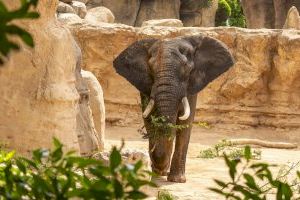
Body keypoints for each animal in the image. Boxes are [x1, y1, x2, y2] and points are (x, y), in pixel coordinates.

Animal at [112, 34, 234, 183]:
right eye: (151, 68)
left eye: (186, 68)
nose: (159, 169)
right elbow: (149, 118)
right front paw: (159, 171)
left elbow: (186, 122)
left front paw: (177, 180)